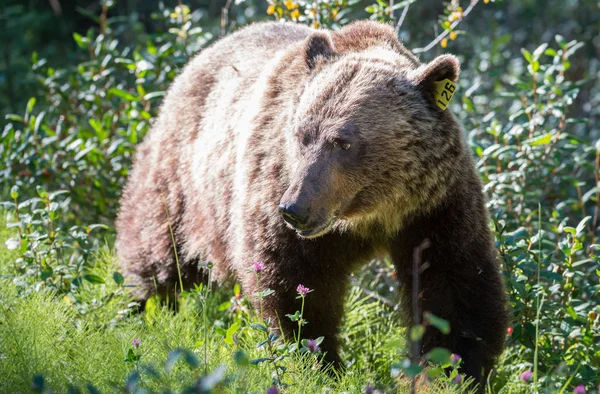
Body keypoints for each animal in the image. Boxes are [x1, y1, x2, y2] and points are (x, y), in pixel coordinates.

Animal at [116, 20, 506, 388]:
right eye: (302, 133)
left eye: (343, 142)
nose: (294, 210)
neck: (371, 214)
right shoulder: (278, 195)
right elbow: (297, 291)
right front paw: (321, 364)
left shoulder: (433, 207)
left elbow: (454, 293)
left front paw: (452, 370)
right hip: (185, 178)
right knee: (158, 247)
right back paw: (134, 306)